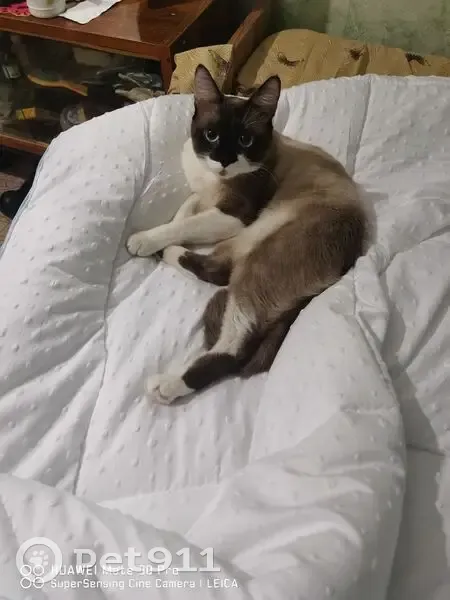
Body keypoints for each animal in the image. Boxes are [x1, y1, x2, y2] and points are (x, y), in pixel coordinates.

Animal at [127, 65, 368, 405]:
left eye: (244, 140)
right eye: (212, 135)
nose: (224, 161)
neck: (214, 180)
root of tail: (350, 256)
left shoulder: (235, 216)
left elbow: (181, 225)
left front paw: (145, 241)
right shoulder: (203, 195)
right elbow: (185, 212)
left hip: (257, 248)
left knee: (230, 329)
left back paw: (166, 384)